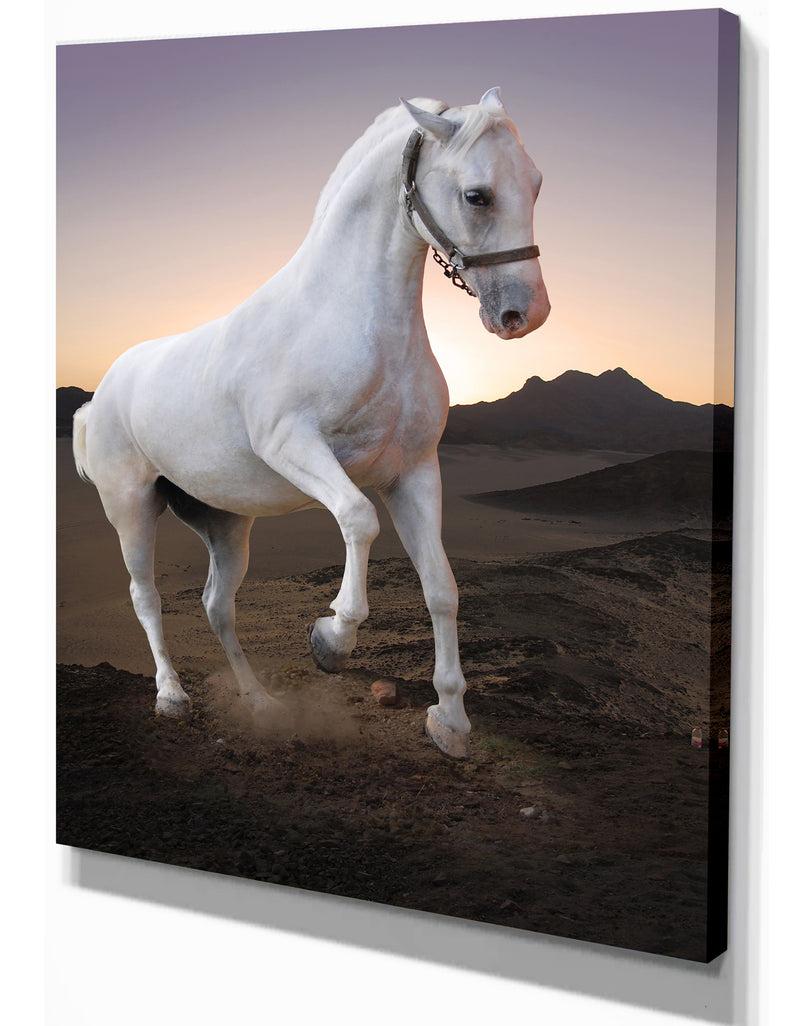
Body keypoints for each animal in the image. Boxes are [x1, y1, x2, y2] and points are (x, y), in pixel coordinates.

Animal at [72, 88, 550, 758]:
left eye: (535, 185)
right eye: (477, 195)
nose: (524, 314)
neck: (355, 321)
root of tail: (101, 395)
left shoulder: (414, 473)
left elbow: (441, 587)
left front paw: (450, 720)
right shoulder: (294, 445)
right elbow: (358, 519)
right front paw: (332, 639)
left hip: (226, 522)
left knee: (218, 605)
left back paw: (258, 702)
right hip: (132, 508)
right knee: (146, 596)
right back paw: (171, 696)